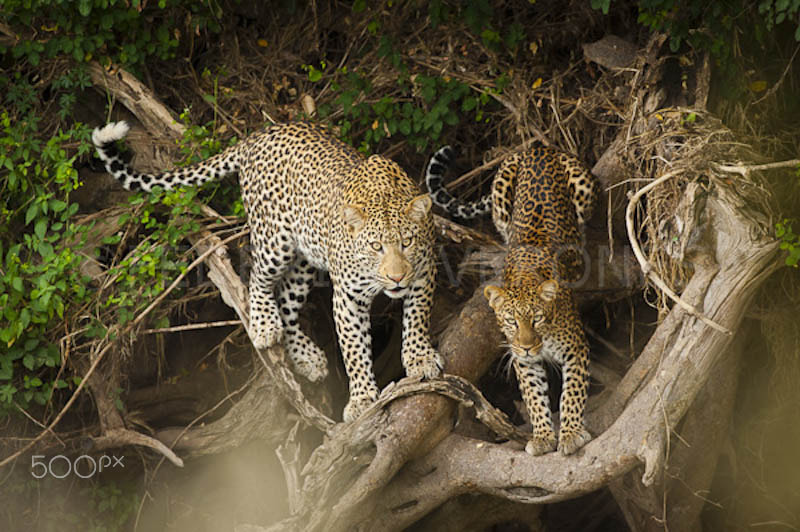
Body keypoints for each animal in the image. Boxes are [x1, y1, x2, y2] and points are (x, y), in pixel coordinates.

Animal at [95, 121, 444, 424]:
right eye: (375, 247)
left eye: (407, 242)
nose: (396, 278)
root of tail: (262, 133)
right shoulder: (348, 296)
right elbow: (354, 349)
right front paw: (361, 399)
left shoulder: (423, 273)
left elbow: (417, 319)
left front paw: (420, 359)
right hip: (273, 240)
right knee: (257, 278)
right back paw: (264, 326)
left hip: (304, 260)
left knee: (287, 303)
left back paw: (306, 357)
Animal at [428, 143, 596, 456]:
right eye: (511, 322)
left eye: (537, 319)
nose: (528, 347)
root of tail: (536, 147)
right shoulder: (522, 361)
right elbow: (534, 397)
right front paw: (542, 436)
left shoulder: (576, 348)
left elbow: (573, 393)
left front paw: (569, 434)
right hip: (501, 192)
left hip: (582, 186)